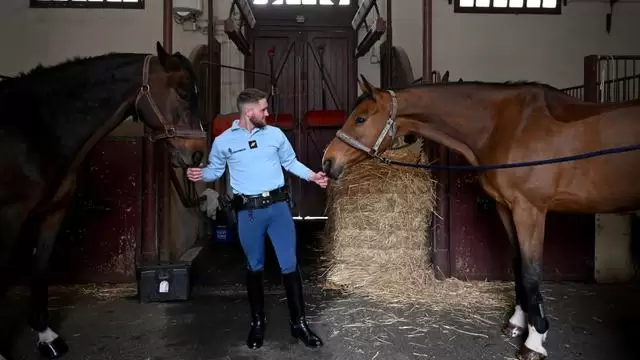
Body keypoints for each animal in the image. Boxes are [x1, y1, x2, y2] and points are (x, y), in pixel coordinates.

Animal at [0, 40, 208, 358]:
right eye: (183, 92)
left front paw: (47, 337)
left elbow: (41, 268)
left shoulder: (52, 212)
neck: (39, 128)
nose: (197, 153)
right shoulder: (9, 215)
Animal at [322, 75, 640, 360]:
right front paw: (517, 324)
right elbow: (517, 264)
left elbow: (531, 273)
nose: (328, 161)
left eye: (360, 119)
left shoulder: (530, 210)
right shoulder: (505, 207)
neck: (507, 126)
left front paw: (534, 342)